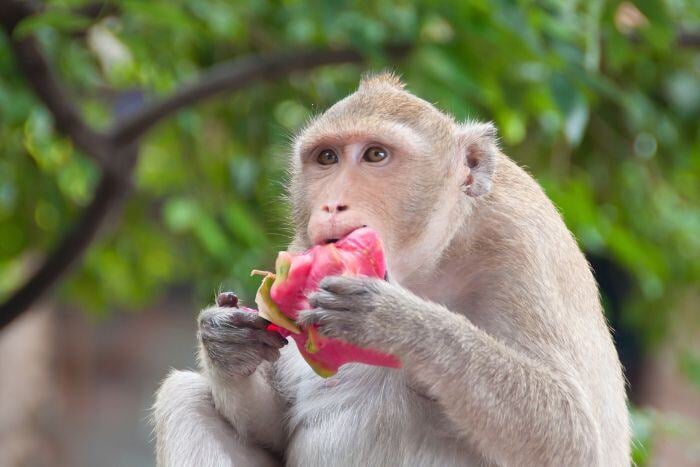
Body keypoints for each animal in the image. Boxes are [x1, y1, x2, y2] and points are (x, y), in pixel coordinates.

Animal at [153, 73, 628, 467]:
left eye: (375, 155)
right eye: (327, 158)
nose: (332, 204)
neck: (431, 261)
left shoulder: (521, 246)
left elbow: (574, 437)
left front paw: (396, 321)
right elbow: (272, 428)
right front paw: (226, 342)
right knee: (184, 397)